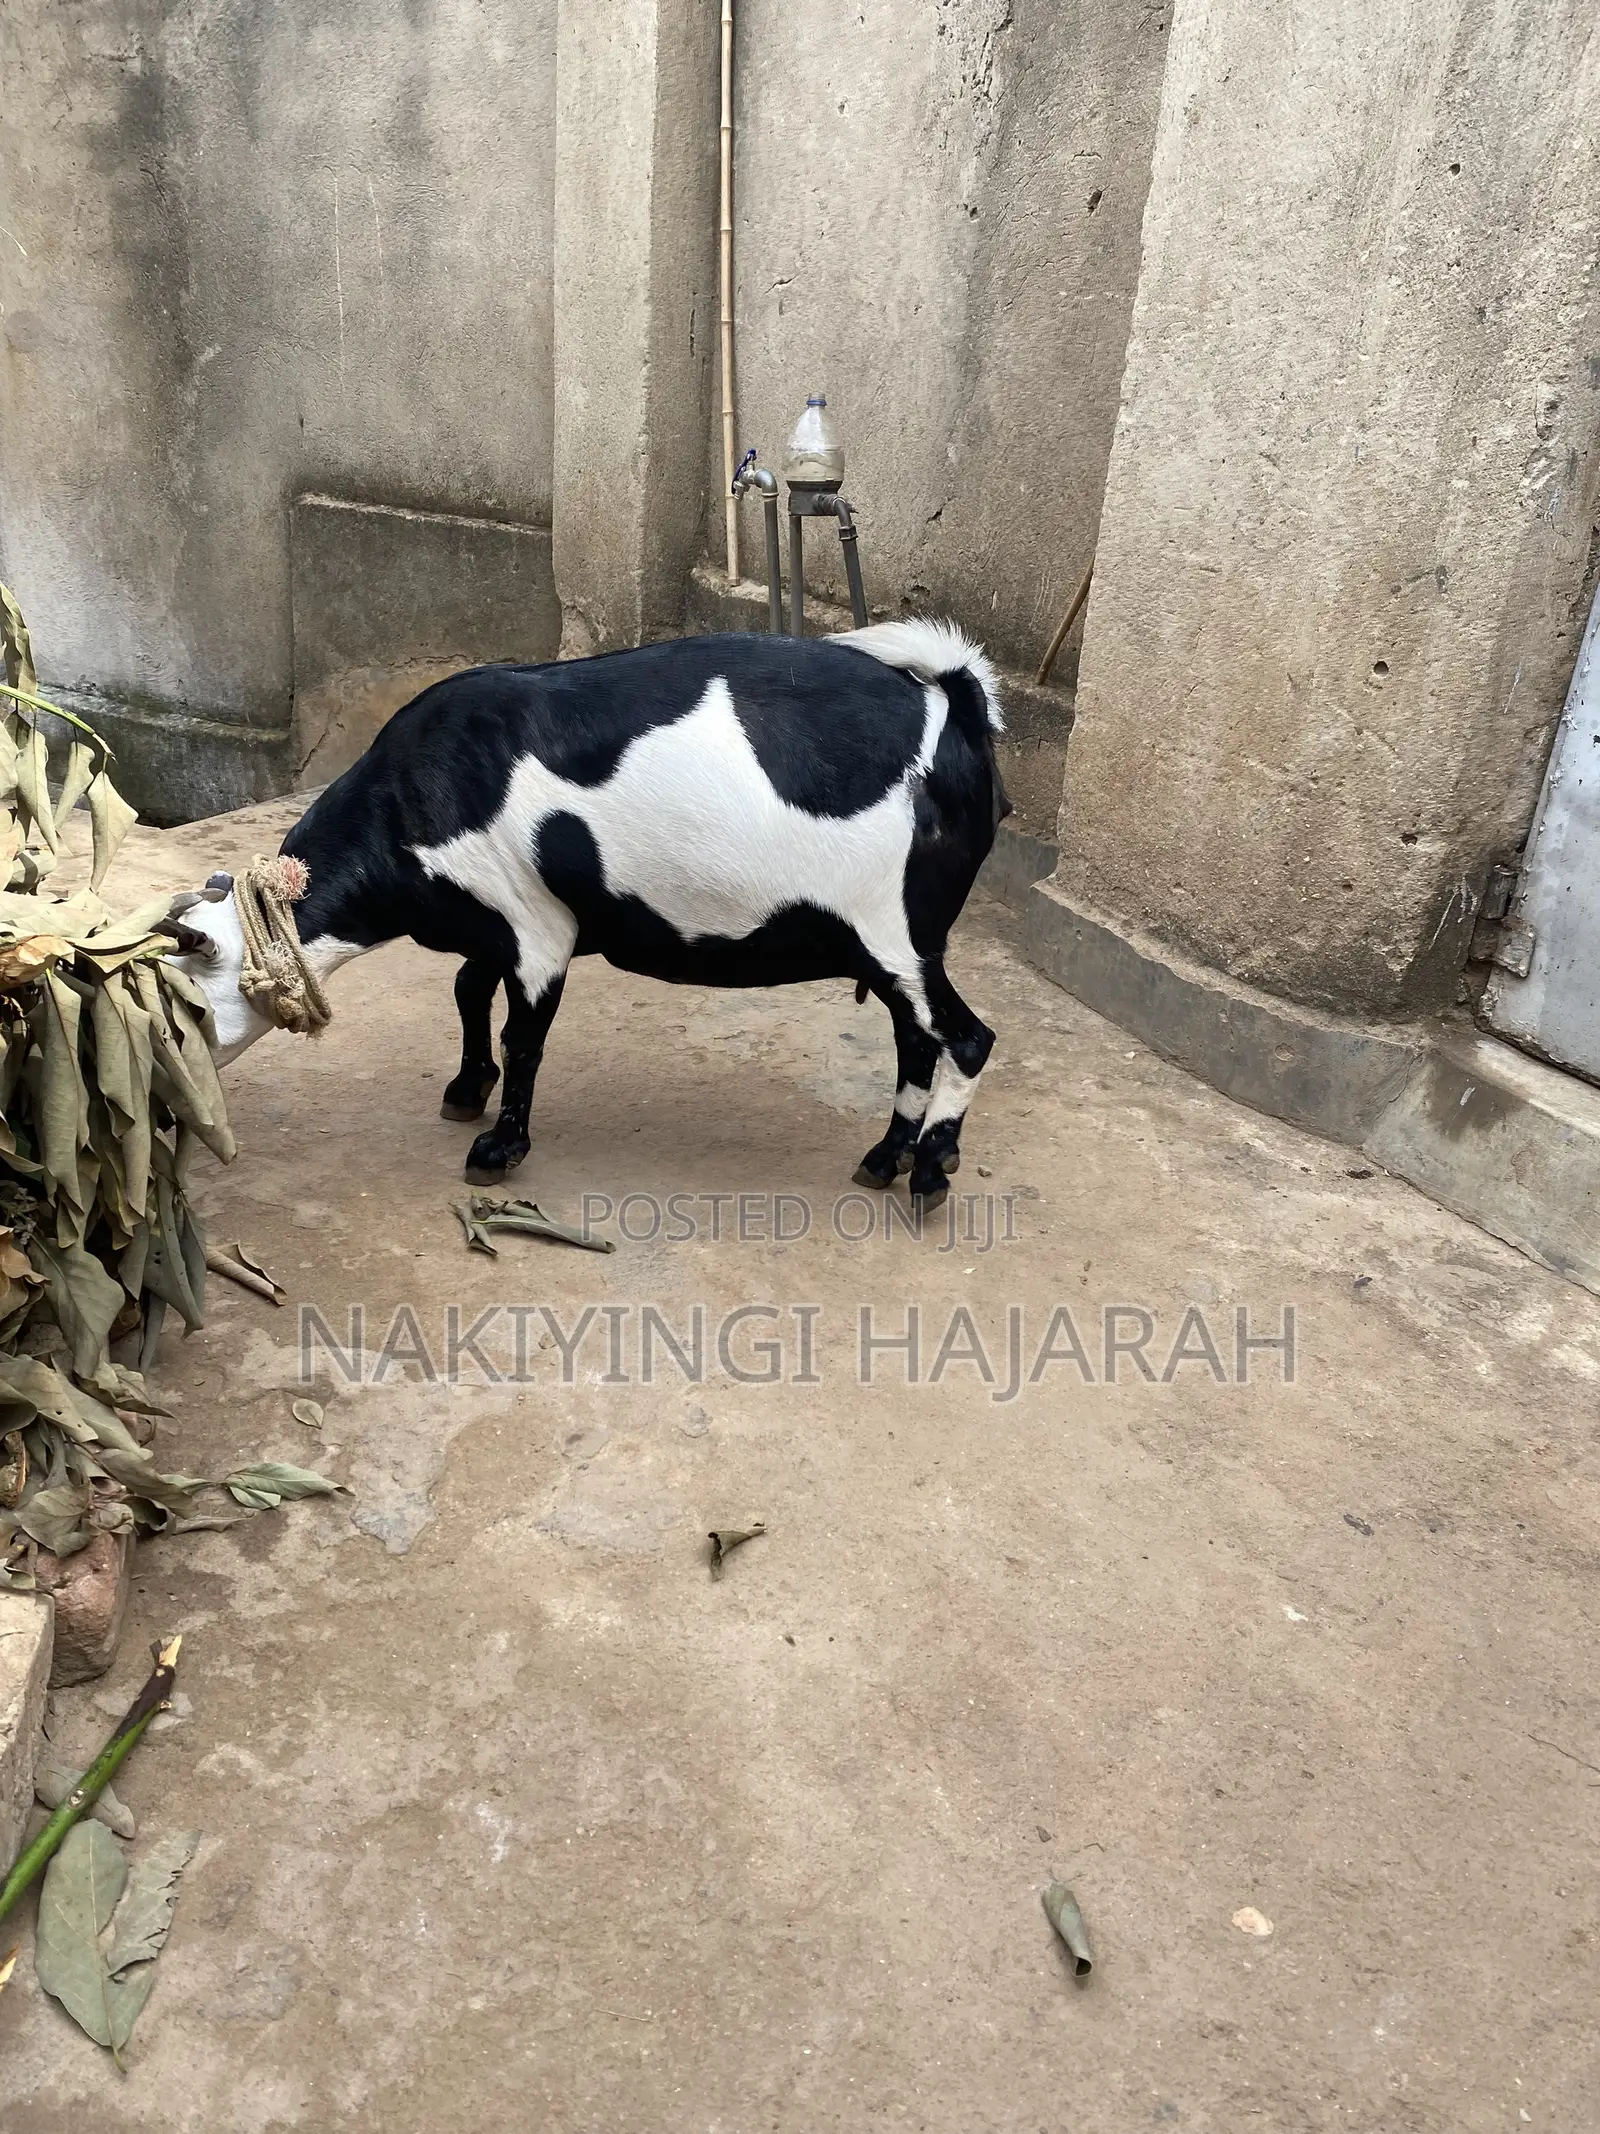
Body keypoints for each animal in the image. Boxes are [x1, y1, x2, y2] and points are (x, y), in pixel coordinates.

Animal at [175, 622, 1009, 1208]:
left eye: (192, 1009)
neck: (415, 796)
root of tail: (953, 706)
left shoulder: (538, 929)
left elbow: (524, 1037)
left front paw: (498, 1150)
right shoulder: (495, 925)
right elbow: (468, 992)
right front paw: (465, 1089)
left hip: (894, 932)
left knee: (966, 1039)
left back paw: (929, 1172)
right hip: (894, 950)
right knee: (916, 1041)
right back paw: (885, 1157)